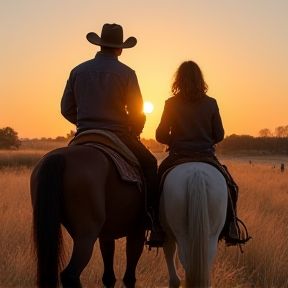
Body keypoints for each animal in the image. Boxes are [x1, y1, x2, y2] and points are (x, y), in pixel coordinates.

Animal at [31, 145, 146, 288]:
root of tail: (58, 156)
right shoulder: (137, 231)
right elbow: (129, 278)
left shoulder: (107, 235)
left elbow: (109, 277)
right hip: (87, 234)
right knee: (70, 274)